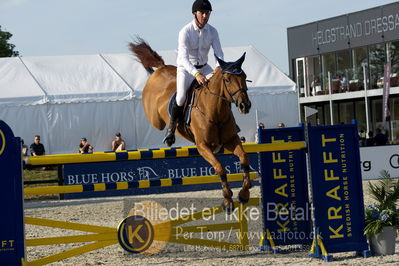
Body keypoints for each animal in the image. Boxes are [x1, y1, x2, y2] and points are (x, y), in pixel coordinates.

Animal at [130, 39, 252, 212]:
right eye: (227, 80)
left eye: (244, 76)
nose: (245, 106)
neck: (215, 112)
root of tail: (161, 68)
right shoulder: (203, 146)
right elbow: (220, 168)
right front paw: (228, 200)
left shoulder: (231, 140)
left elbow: (244, 160)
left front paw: (244, 194)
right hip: (155, 119)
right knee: (160, 118)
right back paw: (169, 135)